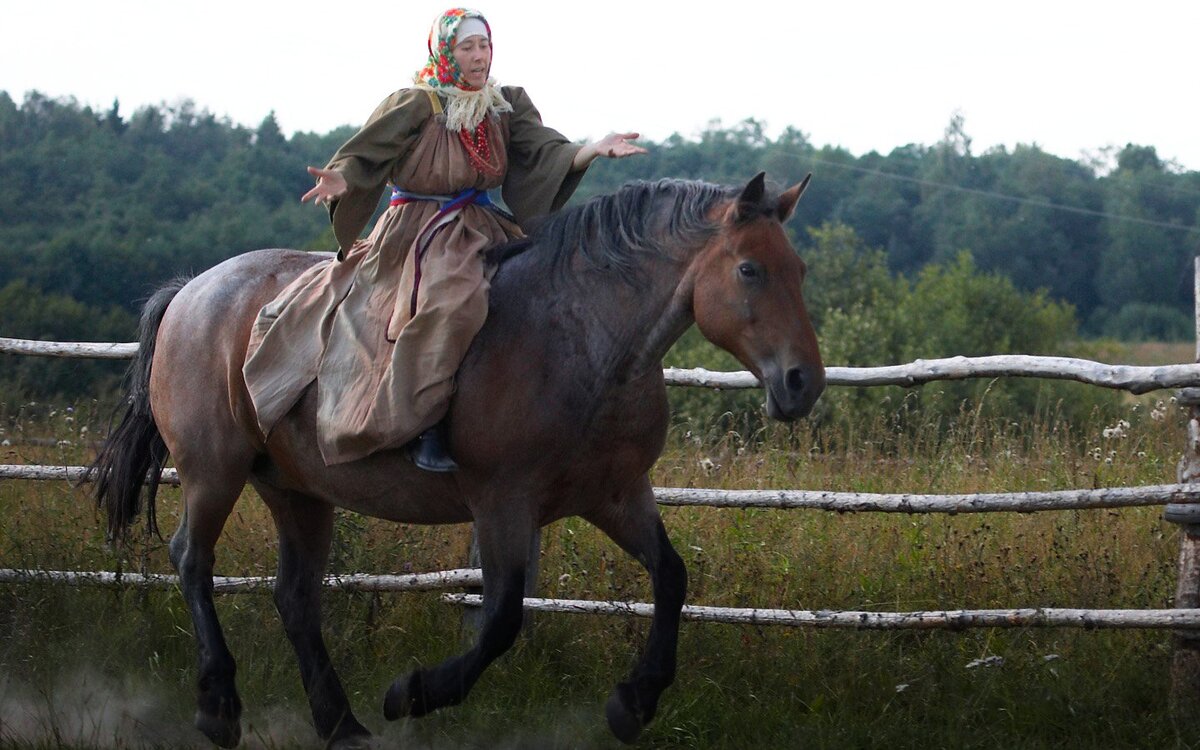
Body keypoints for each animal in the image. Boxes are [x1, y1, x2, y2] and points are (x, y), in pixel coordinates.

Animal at [91, 171, 825, 748]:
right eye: (750, 269)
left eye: (800, 271)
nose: (802, 383)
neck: (579, 337)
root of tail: (192, 291)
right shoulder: (503, 502)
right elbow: (500, 618)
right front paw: (412, 692)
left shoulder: (616, 495)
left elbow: (670, 578)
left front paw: (633, 703)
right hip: (213, 473)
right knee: (193, 560)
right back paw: (220, 708)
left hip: (297, 491)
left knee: (294, 596)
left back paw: (341, 724)